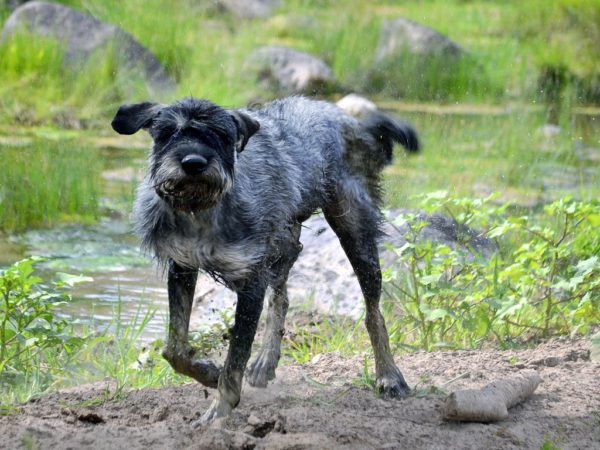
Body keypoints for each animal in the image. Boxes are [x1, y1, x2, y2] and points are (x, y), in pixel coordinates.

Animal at [113, 96, 422, 426]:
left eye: (221, 134)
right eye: (168, 132)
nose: (193, 163)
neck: (201, 209)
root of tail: (349, 121)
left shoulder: (251, 282)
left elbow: (235, 358)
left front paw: (218, 413)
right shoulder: (182, 267)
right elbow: (175, 349)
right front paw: (208, 372)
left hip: (355, 236)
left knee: (373, 312)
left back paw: (389, 376)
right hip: (283, 243)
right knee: (282, 298)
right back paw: (265, 361)